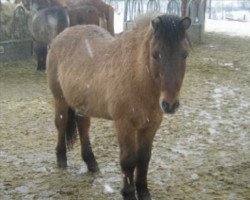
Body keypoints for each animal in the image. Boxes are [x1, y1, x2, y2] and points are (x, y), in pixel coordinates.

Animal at [47, 14, 191, 200]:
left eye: (185, 54)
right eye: (155, 54)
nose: (170, 104)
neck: (137, 76)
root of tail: (61, 35)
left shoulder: (151, 125)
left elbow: (144, 158)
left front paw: (143, 191)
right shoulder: (124, 124)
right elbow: (128, 160)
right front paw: (128, 193)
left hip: (83, 106)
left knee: (83, 127)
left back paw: (91, 163)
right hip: (60, 99)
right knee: (61, 124)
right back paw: (61, 159)